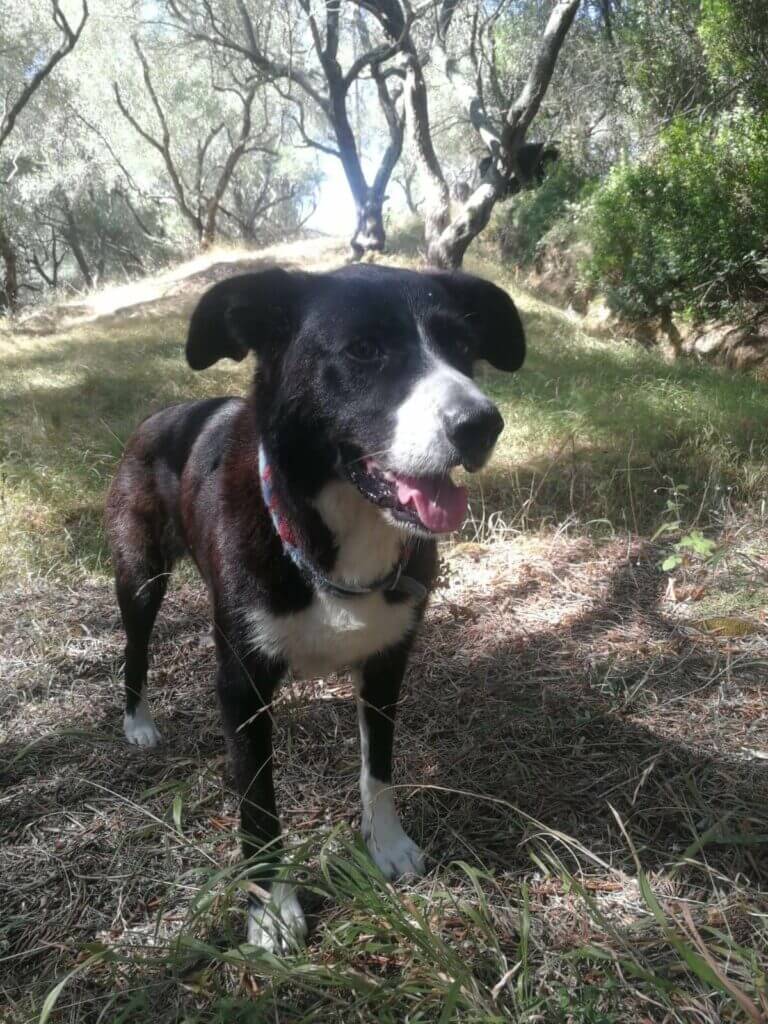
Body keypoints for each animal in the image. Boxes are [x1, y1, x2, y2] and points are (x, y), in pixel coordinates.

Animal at [105, 264, 528, 950]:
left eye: (464, 346)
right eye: (363, 350)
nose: (480, 425)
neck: (333, 539)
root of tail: (159, 416)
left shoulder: (387, 662)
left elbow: (378, 766)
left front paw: (387, 845)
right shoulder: (242, 684)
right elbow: (258, 805)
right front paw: (271, 909)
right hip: (141, 576)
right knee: (135, 647)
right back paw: (137, 721)